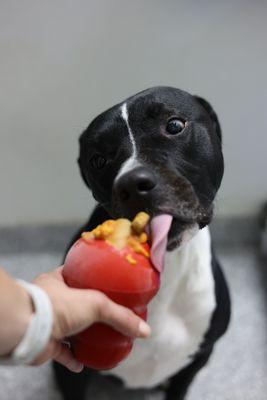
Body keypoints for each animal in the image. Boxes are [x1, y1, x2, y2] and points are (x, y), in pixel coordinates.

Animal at [53, 86, 231, 398]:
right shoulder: (71, 370)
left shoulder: (197, 360)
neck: (165, 263)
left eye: (175, 125)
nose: (133, 184)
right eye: (98, 160)